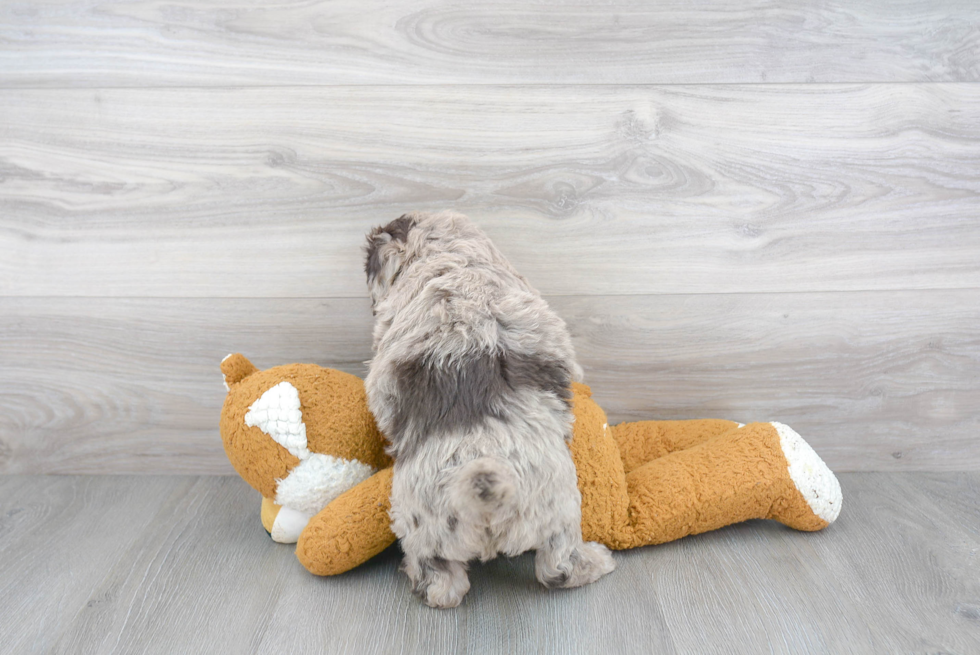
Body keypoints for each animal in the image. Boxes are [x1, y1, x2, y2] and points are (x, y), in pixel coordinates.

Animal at [364, 211, 616, 608]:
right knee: (556, 568)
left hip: (434, 528)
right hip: (557, 513)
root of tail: (484, 482)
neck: (451, 262)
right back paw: (598, 561)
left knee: (447, 585)